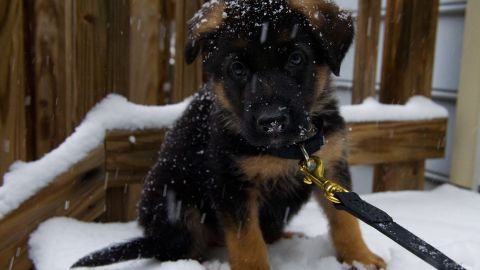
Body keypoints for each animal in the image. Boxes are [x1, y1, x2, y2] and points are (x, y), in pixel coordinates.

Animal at [72, 0, 386, 270]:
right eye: (237, 68)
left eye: (297, 58)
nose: (272, 122)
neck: (290, 149)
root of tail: (153, 237)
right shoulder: (231, 183)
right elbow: (247, 242)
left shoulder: (331, 165)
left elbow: (346, 221)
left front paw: (361, 258)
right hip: (175, 201)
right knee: (183, 248)